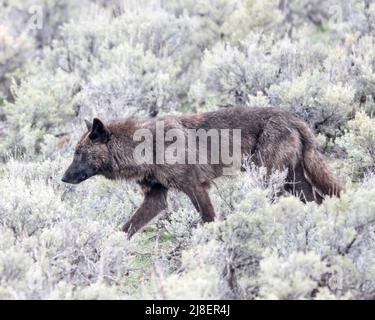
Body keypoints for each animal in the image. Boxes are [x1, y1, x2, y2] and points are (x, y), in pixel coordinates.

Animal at [62, 106, 344, 236]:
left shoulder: (196, 188)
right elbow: (126, 228)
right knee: (318, 200)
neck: (144, 146)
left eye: (78, 154)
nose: (63, 178)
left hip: (270, 183)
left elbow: (208, 220)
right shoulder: (156, 198)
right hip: (293, 183)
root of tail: (294, 118)